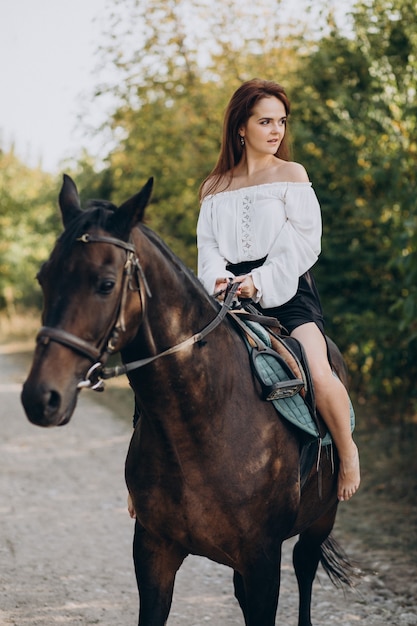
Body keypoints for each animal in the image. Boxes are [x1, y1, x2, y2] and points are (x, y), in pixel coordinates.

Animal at [21, 174, 352, 624]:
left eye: (105, 284)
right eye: (44, 277)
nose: (41, 398)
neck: (202, 422)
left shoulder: (263, 563)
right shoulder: (154, 554)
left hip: (320, 520)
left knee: (305, 567)